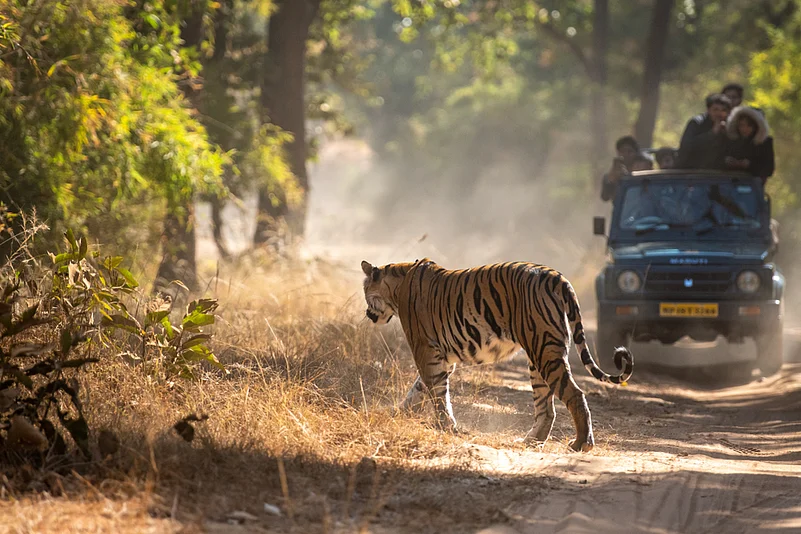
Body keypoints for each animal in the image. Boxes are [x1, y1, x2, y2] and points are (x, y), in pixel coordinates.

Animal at [360, 258, 633, 452]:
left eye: (365, 292)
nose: (367, 313)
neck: (397, 286)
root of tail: (557, 276)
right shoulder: (442, 358)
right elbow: (419, 389)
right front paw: (398, 413)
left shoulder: (425, 352)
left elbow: (437, 394)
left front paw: (445, 426)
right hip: (539, 356)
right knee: (547, 408)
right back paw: (530, 441)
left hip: (545, 351)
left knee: (575, 395)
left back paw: (581, 444)